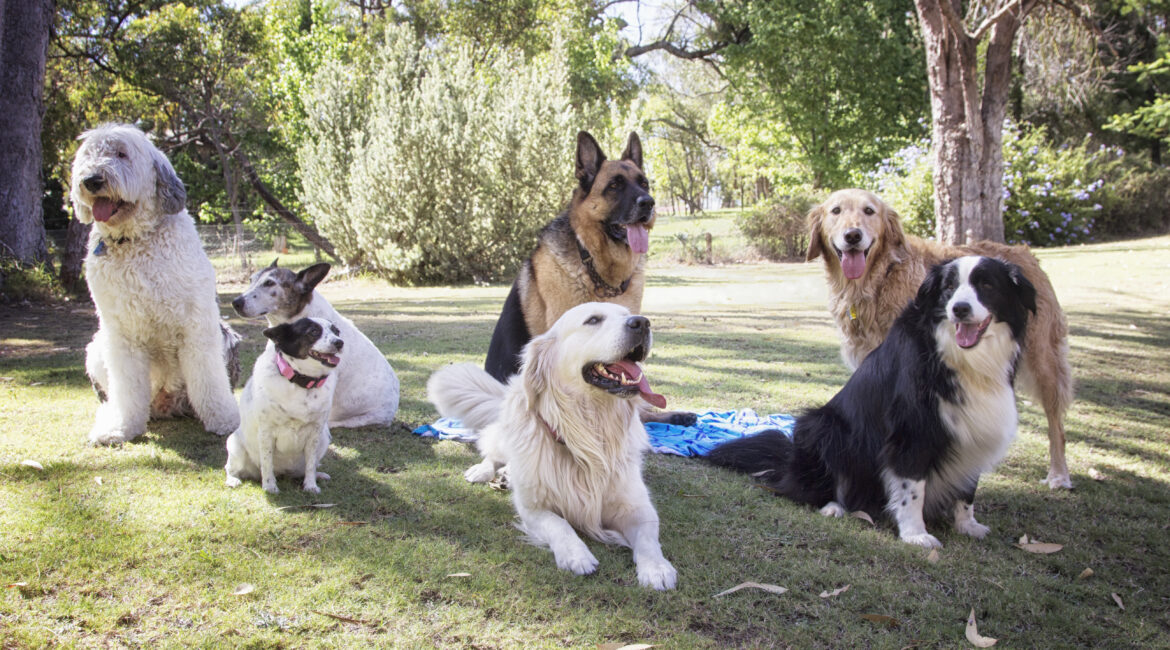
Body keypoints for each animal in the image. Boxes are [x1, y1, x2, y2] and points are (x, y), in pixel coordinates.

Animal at [73, 123, 239, 446]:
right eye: (89, 155)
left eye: (121, 154)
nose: (92, 179)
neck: (135, 240)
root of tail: (165, 402)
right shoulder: (121, 332)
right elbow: (126, 386)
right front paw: (121, 428)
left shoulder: (197, 323)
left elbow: (209, 378)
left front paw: (225, 420)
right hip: (98, 348)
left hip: (225, 338)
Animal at [223, 315, 341, 493]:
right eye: (313, 331)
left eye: (336, 331)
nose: (340, 342)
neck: (301, 382)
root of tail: (284, 472)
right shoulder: (266, 432)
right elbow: (266, 462)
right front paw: (270, 486)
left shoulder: (315, 432)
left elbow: (310, 464)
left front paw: (310, 485)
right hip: (235, 445)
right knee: (230, 468)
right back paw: (233, 480)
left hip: (324, 439)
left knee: (308, 467)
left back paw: (318, 475)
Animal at [430, 301, 678, 591]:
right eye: (593, 320)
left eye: (628, 315)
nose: (642, 323)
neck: (588, 433)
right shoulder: (533, 508)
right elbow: (560, 524)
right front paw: (577, 555)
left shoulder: (638, 506)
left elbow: (649, 539)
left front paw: (657, 568)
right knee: (492, 450)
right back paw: (484, 471)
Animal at [706, 256, 1038, 544]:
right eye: (948, 287)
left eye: (987, 285)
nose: (960, 308)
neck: (959, 360)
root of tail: (789, 461)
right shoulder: (911, 431)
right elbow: (911, 489)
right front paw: (915, 534)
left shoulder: (975, 426)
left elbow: (968, 488)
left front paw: (967, 525)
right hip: (822, 426)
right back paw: (833, 506)